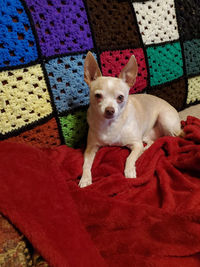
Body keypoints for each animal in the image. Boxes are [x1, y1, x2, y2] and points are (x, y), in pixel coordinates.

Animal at [79, 51, 182, 188]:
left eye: (120, 98)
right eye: (98, 96)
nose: (110, 110)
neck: (110, 125)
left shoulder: (136, 144)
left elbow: (130, 158)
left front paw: (129, 171)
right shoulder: (90, 148)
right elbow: (86, 164)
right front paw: (85, 178)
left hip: (165, 120)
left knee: (173, 137)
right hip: (146, 135)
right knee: (152, 142)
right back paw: (146, 149)